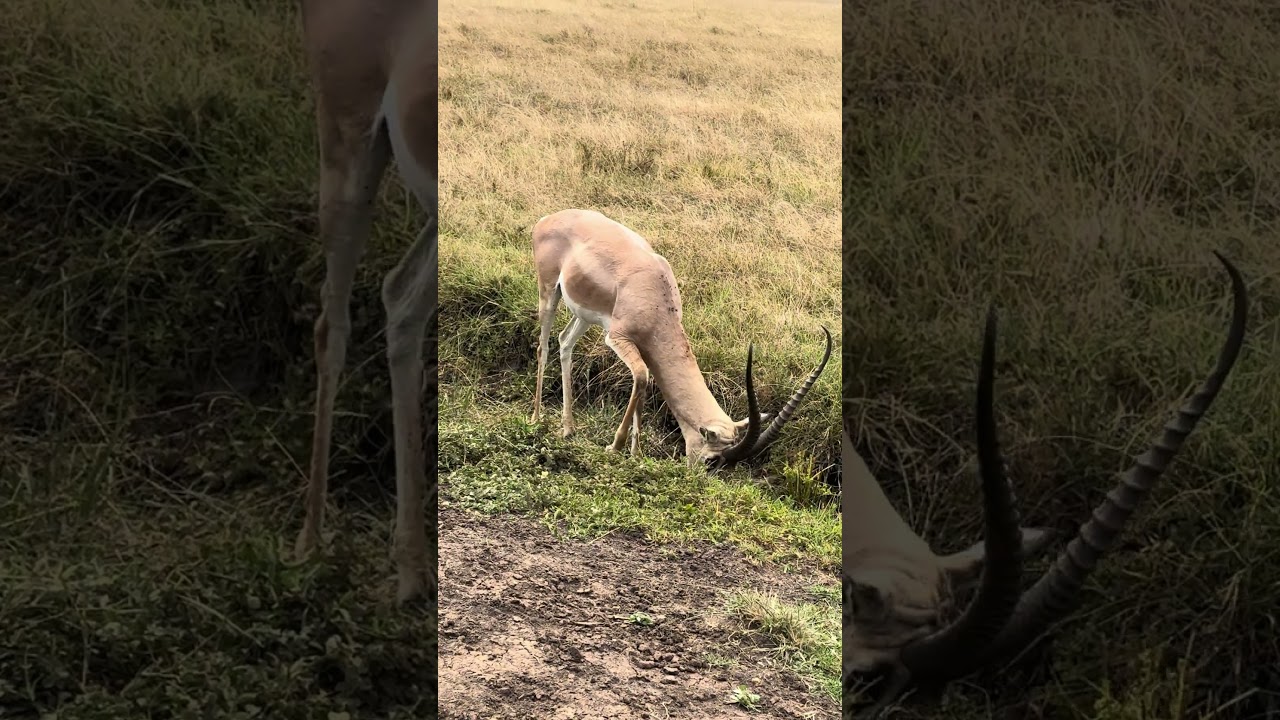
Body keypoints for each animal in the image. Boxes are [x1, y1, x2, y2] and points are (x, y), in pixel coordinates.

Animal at [529, 209, 833, 469]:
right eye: (712, 460)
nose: (698, 478)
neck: (655, 293)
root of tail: (548, 219)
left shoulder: (646, 347)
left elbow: (645, 383)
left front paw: (635, 453)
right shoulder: (617, 337)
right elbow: (641, 378)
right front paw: (615, 447)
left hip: (584, 315)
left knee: (565, 342)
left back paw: (568, 429)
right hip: (549, 292)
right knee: (543, 346)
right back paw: (535, 418)